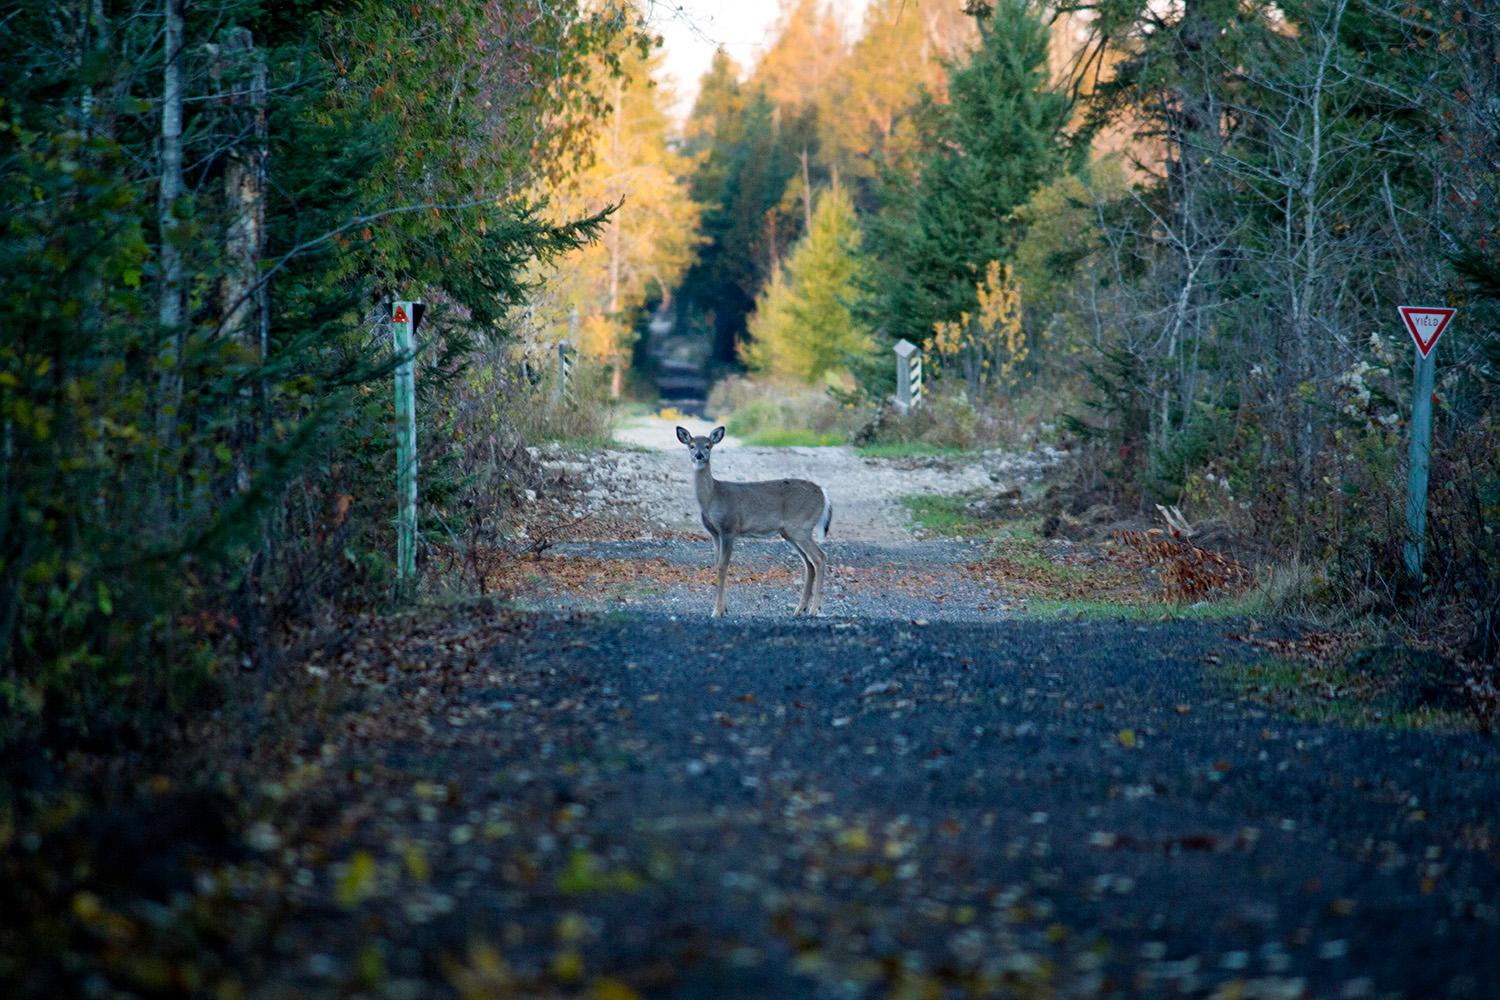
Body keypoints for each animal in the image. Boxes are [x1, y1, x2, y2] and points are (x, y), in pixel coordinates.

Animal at [678, 428, 834, 620]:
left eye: (708, 445)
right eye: (691, 445)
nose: (699, 455)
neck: (712, 496)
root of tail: (823, 494)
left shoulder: (729, 528)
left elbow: (722, 566)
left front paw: (717, 611)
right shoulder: (714, 533)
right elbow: (716, 565)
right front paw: (724, 609)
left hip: (801, 526)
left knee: (820, 558)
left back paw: (814, 609)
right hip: (789, 532)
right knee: (809, 563)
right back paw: (800, 609)